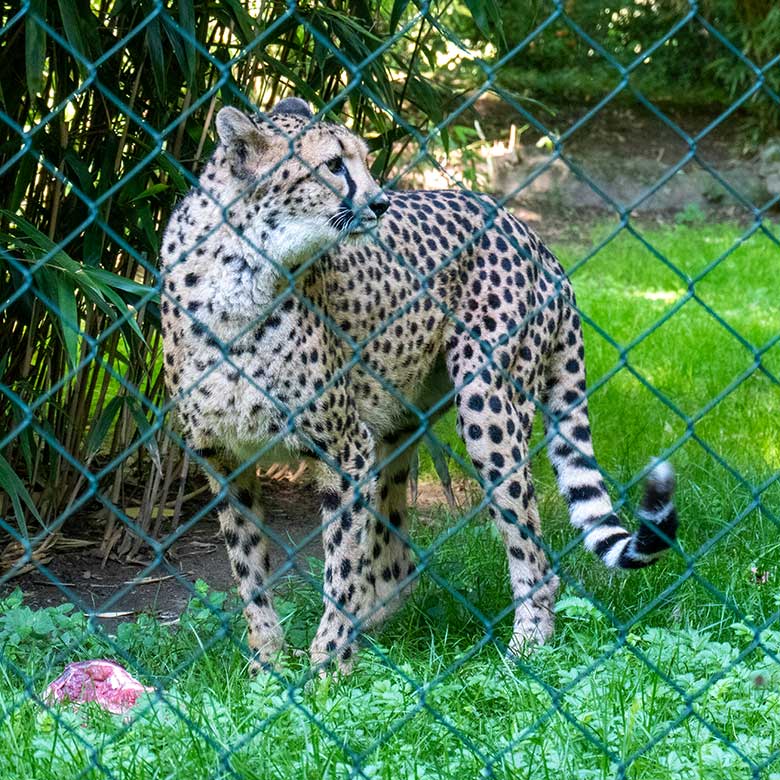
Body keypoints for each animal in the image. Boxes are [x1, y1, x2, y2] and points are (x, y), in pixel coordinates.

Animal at [161, 96, 680, 672]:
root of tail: (529, 233)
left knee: (530, 550)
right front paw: (267, 664)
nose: (381, 203)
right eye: (333, 165)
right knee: (396, 564)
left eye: (365, 160)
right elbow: (249, 570)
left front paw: (326, 668)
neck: (239, 272)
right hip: (399, 422)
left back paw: (525, 645)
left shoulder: (346, 451)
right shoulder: (224, 460)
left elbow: (340, 565)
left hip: (486, 404)